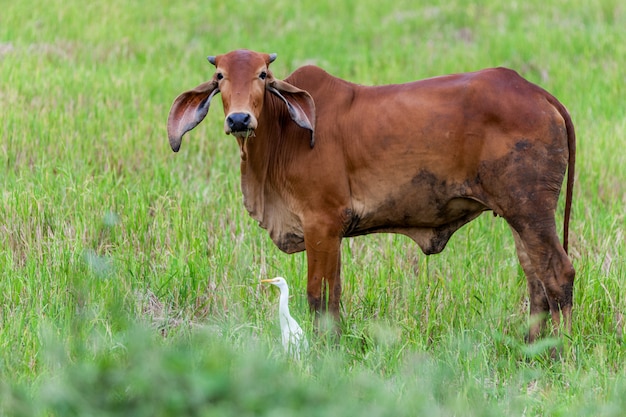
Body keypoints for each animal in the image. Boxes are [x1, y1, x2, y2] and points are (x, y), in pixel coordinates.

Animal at [167, 48, 576, 342]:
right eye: (220, 76)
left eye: (263, 75)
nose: (239, 120)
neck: (283, 132)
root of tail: (537, 92)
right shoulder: (332, 234)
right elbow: (334, 297)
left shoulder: (320, 224)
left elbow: (318, 297)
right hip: (519, 216)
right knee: (536, 280)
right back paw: (530, 347)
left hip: (531, 211)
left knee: (559, 275)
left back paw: (560, 352)